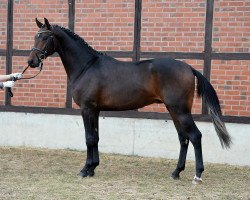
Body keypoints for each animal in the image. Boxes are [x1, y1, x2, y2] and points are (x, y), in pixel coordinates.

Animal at [27, 18, 232, 184]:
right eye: (35, 37)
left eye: (45, 37)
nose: (31, 62)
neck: (86, 66)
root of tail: (189, 68)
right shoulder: (95, 110)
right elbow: (96, 137)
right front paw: (93, 168)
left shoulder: (87, 109)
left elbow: (89, 138)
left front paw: (85, 170)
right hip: (174, 111)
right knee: (183, 138)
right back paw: (176, 172)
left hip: (180, 111)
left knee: (195, 136)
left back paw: (197, 175)